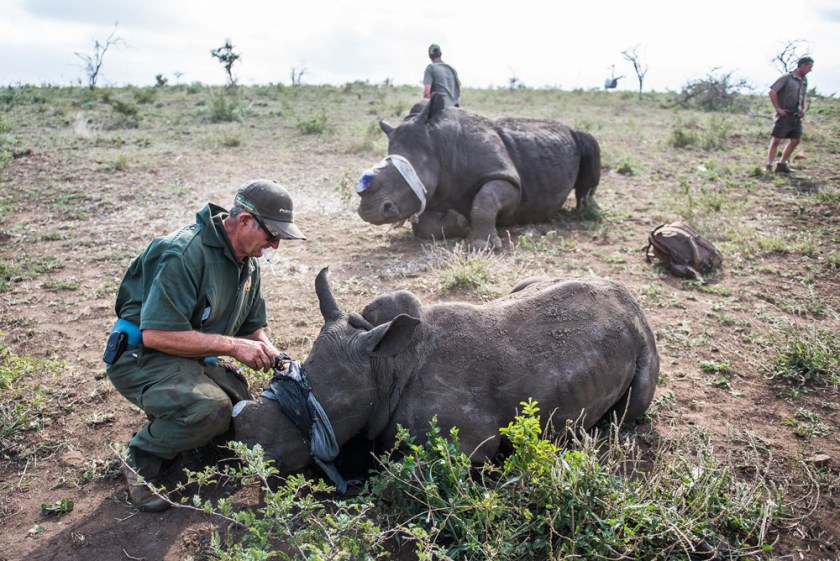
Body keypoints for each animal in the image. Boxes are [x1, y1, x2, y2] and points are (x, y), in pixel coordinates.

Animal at [232, 268, 659, 476]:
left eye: (332, 408)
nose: (250, 454)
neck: (384, 366)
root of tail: (632, 302)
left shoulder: (470, 443)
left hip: (644, 345)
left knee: (632, 407)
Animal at [355, 94, 601, 250]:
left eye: (405, 170)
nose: (369, 211)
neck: (438, 145)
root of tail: (566, 127)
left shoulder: (507, 179)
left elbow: (485, 200)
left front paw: (482, 246)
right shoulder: (430, 194)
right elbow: (422, 226)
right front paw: (460, 222)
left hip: (578, 136)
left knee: (589, 143)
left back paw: (588, 210)